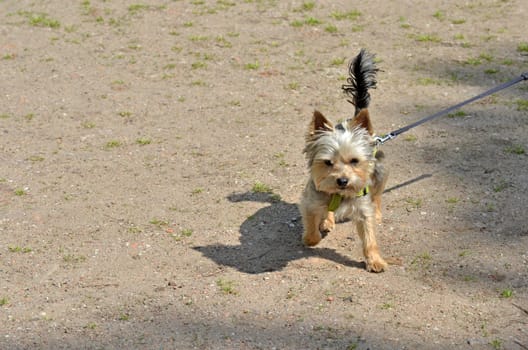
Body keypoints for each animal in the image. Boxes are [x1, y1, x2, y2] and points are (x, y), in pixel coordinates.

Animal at [300, 50, 390, 274]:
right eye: (327, 162)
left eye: (355, 161)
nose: (342, 181)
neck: (339, 195)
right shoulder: (310, 201)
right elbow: (311, 225)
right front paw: (312, 238)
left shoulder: (363, 210)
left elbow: (369, 238)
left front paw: (375, 260)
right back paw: (327, 221)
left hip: (381, 170)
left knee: (377, 195)